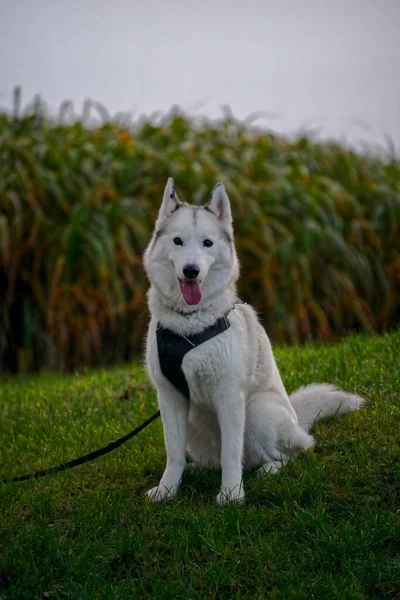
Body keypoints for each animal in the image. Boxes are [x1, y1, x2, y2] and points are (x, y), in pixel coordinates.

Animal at [145, 177, 366, 502]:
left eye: (207, 243)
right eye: (178, 241)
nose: (191, 271)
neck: (190, 326)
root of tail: (297, 421)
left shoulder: (229, 396)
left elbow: (230, 455)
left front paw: (231, 495)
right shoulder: (170, 397)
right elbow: (173, 455)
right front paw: (167, 491)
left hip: (258, 412)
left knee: (287, 454)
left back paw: (267, 470)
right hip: (195, 424)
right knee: (214, 459)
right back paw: (200, 470)